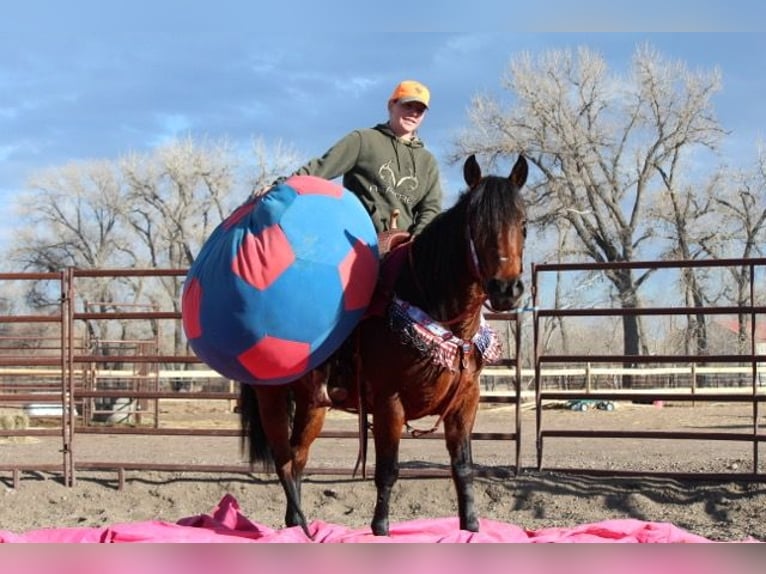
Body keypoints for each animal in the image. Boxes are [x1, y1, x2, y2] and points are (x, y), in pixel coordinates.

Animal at [240, 154, 528, 540]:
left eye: (523, 223)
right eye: (475, 224)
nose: (506, 289)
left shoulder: (466, 403)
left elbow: (463, 469)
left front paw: (471, 527)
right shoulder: (389, 403)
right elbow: (388, 470)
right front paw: (380, 528)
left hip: (312, 403)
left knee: (297, 456)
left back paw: (297, 526)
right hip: (270, 397)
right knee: (283, 459)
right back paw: (301, 527)